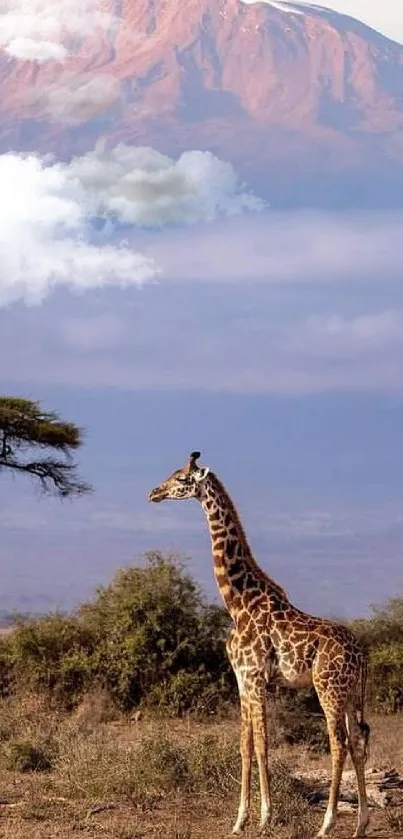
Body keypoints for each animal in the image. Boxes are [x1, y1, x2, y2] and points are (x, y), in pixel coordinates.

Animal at [148, 456, 370, 836]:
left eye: (181, 479)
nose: (154, 493)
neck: (238, 602)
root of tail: (362, 656)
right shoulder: (241, 679)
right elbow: (245, 745)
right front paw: (239, 821)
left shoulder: (254, 677)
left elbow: (264, 745)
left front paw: (265, 817)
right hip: (351, 692)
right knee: (356, 743)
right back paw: (361, 825)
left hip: (328, 688)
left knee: (338, 744)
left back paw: (326, 825)